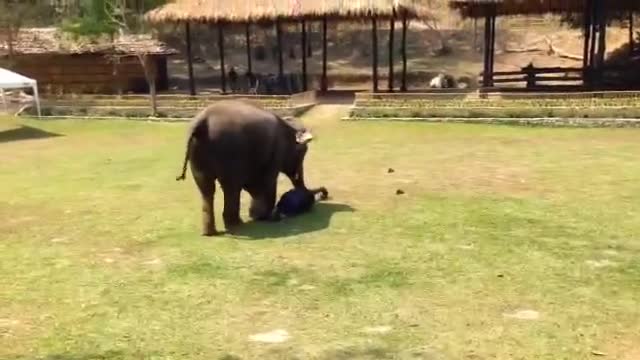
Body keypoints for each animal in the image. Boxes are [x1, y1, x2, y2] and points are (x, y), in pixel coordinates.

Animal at [175, 100, 316, 235]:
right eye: (302, 152)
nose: (306, 196)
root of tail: (202, 121)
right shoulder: (275, 152)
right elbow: (267, 180)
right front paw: (265, 216)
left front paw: (256, 214)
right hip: (229, 152)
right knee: (231, 187)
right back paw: (236, 225)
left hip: (198, 154)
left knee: (207, 189)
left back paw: (210, 232)